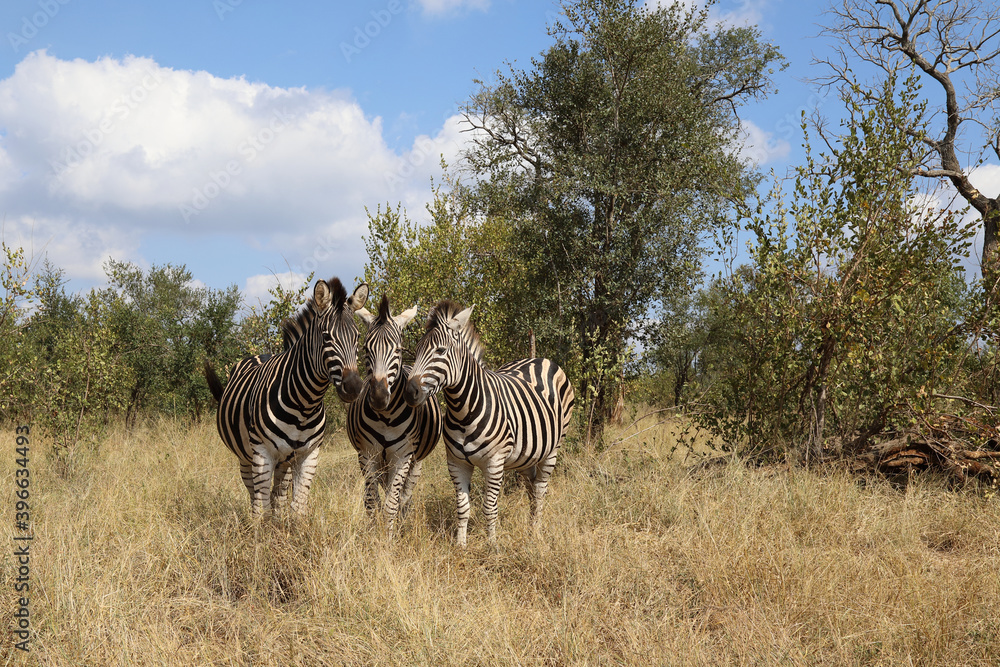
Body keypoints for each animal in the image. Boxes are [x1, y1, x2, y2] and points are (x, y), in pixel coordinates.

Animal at [204, 277, 369, 516]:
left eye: (357, 337)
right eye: (326, 337)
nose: (354, 387)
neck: (305, 403)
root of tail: (259, 354)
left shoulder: (308, 455)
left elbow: (297, 507)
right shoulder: (262, 454)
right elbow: (261, 509)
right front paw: (260, 526)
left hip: (285, 461)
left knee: (278, 496)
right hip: (246, 457)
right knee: (254, 494)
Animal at [346, 295, 443, 533]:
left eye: (398, 351)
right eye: (365, 349)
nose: (379, 397)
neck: (385, 417)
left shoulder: (402, 456)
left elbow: (392, 502)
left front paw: (389, 536)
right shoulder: (367, 454)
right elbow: (372, 502)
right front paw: (374, 534)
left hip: (415, 461)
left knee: (404, 494)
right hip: (381, 461)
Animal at [403, 300, 574, 546]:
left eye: (440, 351)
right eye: (415, 352)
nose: (409, 393)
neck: (463, 410)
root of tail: (540, 359)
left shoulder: (494, 463)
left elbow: (489, 508)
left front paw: (492, 545)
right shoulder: (456, 463)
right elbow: (462, 508)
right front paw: (460, 545)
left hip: (552, 450)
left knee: (540, 490)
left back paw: (536, 532)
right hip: (527, 456)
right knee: (531, 488)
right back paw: (531, 527)